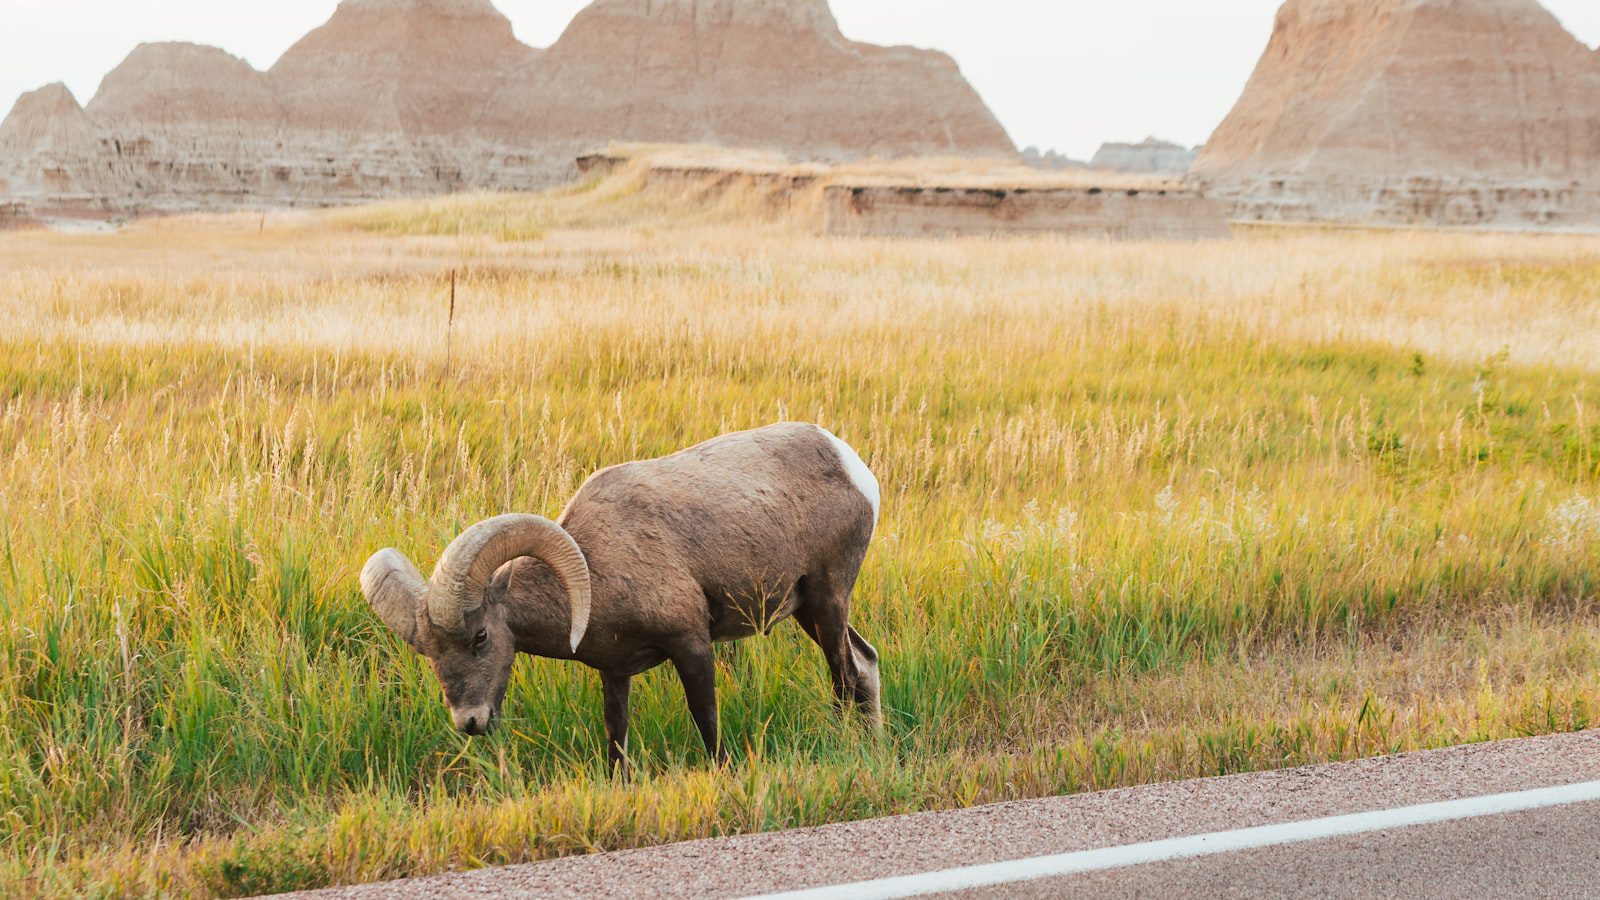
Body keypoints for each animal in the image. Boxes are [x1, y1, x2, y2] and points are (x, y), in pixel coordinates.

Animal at [361, 419, 883, 762]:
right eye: (428, 653)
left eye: (481, 637)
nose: (470, 723)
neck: (597, 568)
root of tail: (854, 467)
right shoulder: (614, 673)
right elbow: (616, 738)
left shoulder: (691, 643)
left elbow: (706, 720)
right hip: (808, 610)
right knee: (867, 663)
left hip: (828, 598)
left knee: (845, 674)